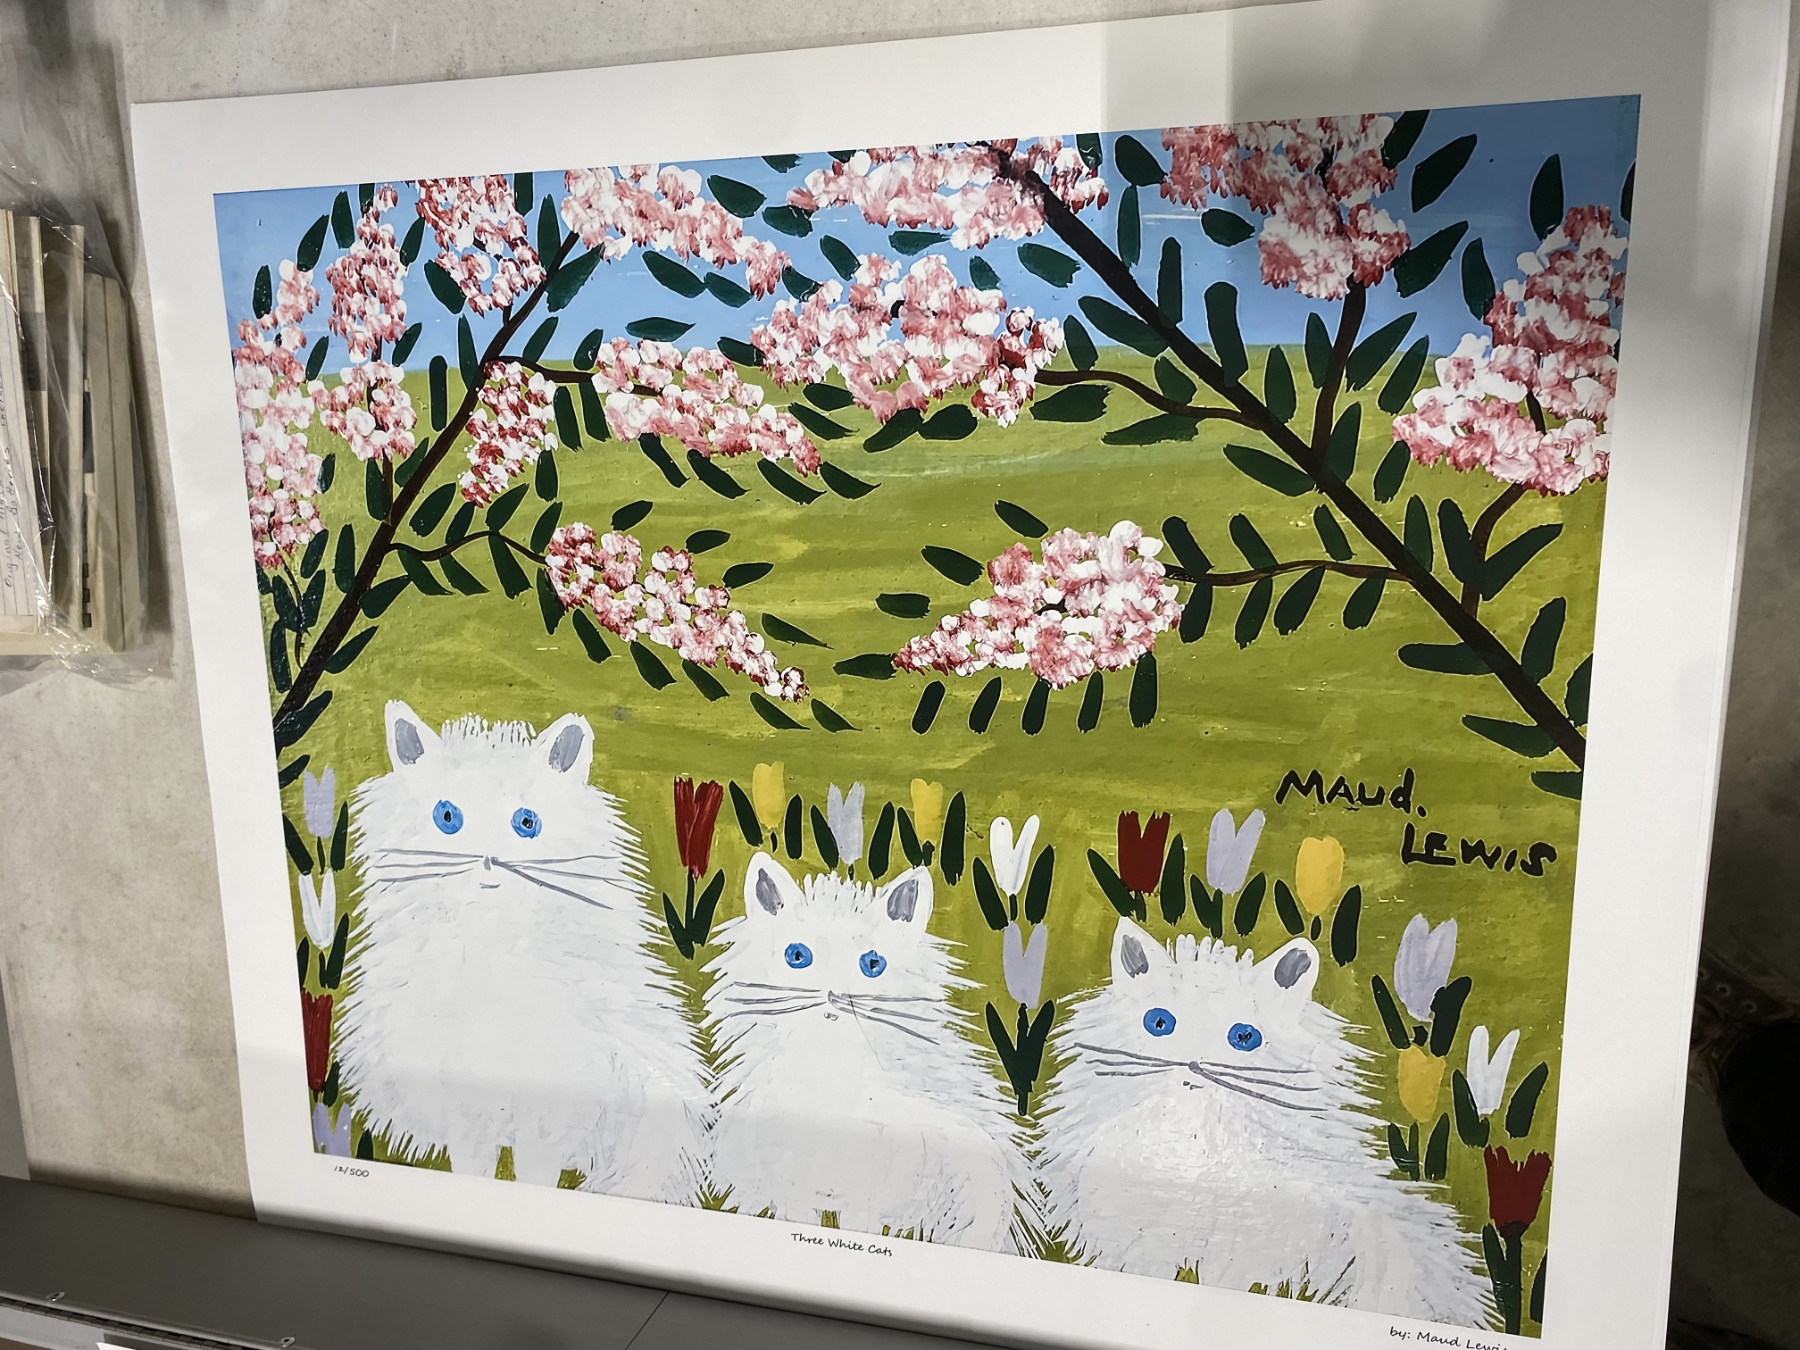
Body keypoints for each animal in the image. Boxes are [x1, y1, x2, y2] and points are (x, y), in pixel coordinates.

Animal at [336, 699, 708, 1202]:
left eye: (526, 823)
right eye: (447, 817)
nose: (489, 859)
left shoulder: (552, 1116)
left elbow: (537, 1175)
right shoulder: (465, 1112)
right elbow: (472, 1171)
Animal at [702, 852, 1033, 1251]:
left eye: (872, 965)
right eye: (797, 956)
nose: (833, 994)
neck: (828, 1081)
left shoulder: (870, 1201)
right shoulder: (792, 1191)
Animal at [1035, 918, 1492, 1327]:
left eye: (1244, 1038)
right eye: (1159, 1024)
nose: (1193, 1063)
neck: (1193, 1141)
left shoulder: (1240, 1248)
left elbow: (1225, 1284)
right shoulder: (1136, 1238)